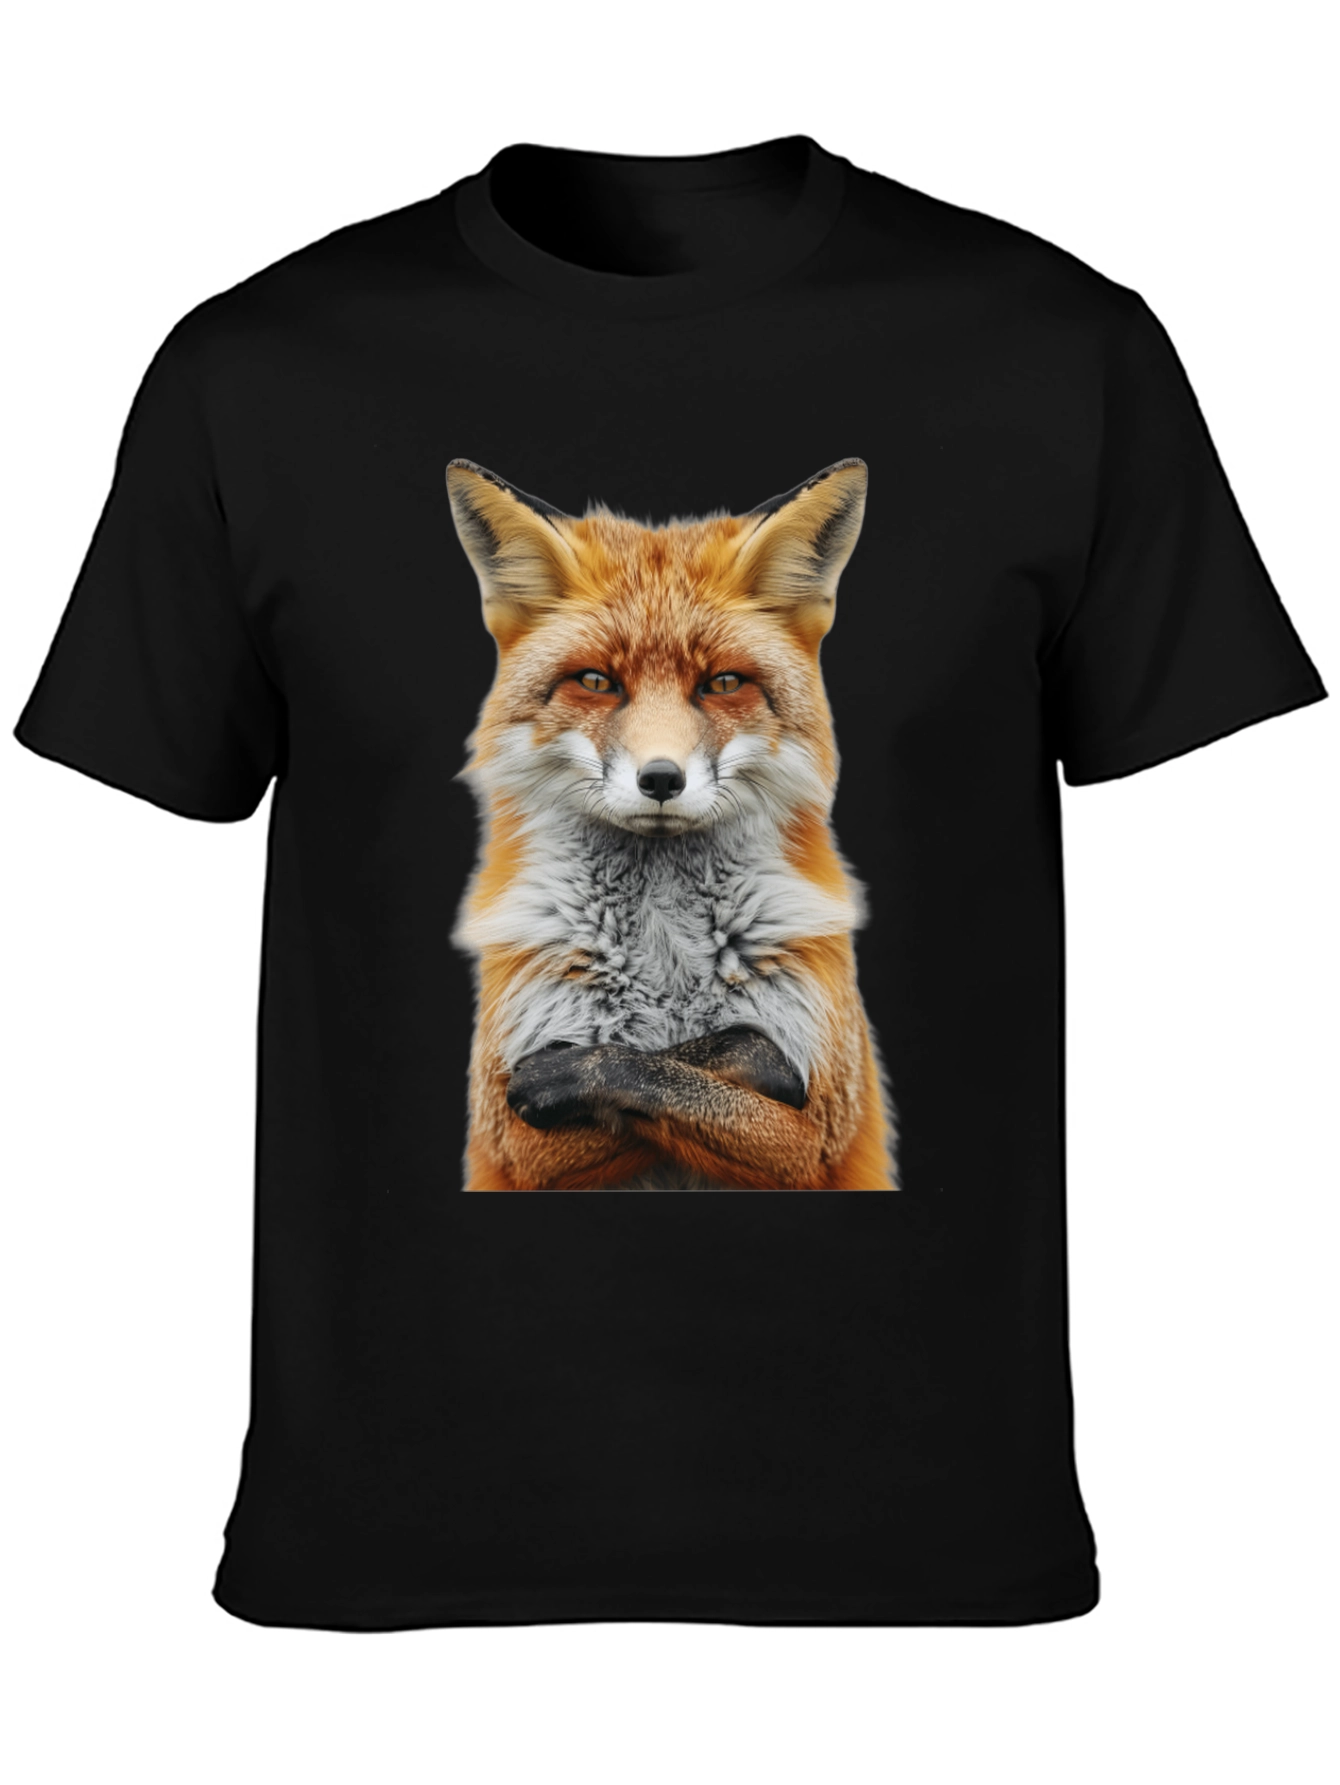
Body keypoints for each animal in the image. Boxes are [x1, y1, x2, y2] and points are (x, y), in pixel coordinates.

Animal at [446, 456, 895, 1191]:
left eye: (723, 684)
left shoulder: (819, 1127)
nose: (660, 779)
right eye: (596, 681)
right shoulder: (512, 1138)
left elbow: (690, 1069)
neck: (664, 957)